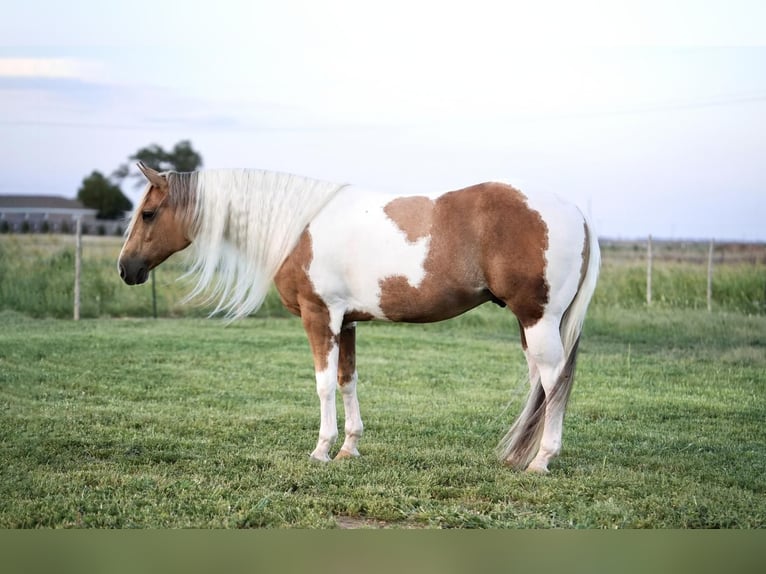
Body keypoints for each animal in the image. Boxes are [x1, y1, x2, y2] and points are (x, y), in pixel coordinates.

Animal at [118, 163, 600, 476]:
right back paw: (521, 456)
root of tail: (577, 212)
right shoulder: (345, 321)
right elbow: (348, 380)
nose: (126, 269)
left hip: (538, 318)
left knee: (554, 381)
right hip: (529, 323)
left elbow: (323, 384)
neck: (298, 227)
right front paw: (349, 448)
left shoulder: (320, 316)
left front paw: (321, 450)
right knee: (540, 383)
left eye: (148, 213)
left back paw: (541, 460)